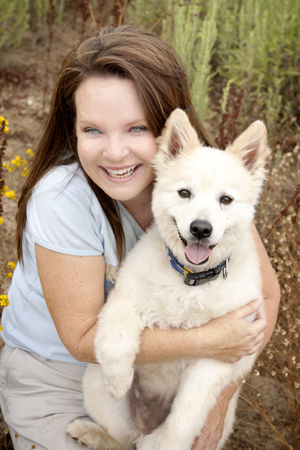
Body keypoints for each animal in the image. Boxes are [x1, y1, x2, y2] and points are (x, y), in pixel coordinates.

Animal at [68, 109, 270, 450]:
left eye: (226, 200)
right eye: (184, 193)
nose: (200, 229)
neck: (190, 281)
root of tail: (143, 425)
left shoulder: (217, 360)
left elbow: (183, 420)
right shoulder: (123, 301)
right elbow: (115, 341)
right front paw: (118, 379)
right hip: (95, 387)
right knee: (121, 440)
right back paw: (88, 431)